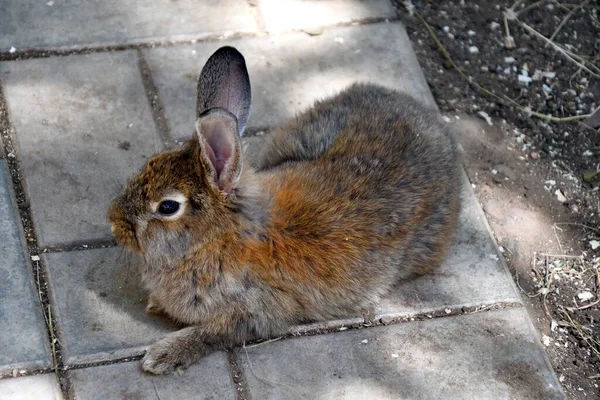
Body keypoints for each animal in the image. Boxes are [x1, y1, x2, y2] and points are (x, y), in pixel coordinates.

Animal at [108, 46, 462, 376]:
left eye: (168, 207)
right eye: (151, 162)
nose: (114, 222)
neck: (219, 238)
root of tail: (434, 126)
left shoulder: (255, 312)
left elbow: (212, 334)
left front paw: (162, 356)